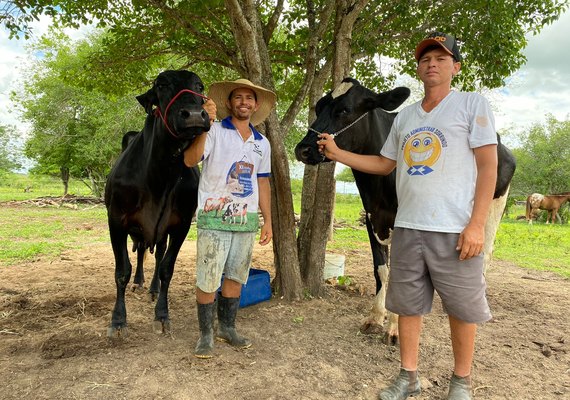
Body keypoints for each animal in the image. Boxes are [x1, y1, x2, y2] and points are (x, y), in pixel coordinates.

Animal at [104, 69, 209, 338]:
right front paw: (118, 320)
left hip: (160, 232)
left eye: (199, 86)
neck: (161, 177)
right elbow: (122, 270)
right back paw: (139, 282)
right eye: (161, 85)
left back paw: (152, 287)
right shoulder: (116, 219)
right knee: (141, 251)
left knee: (157, 253)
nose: (194, 115)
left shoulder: (181, 223)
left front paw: (162, 315)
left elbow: (166, 268)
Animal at [292, 78, 516, 344]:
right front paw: (375, 317)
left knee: (485, 256)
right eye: (318, 107)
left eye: (344, 110)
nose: (303, 149)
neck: (377, 187)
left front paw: (395, 326)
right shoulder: (372, 218)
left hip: (493, 209)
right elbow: (381, 270)